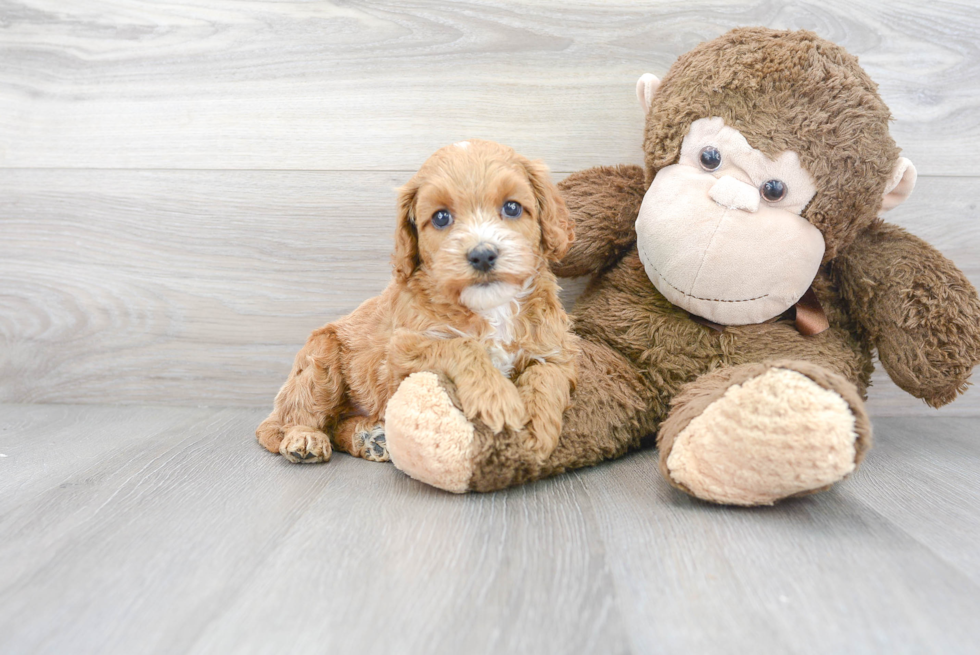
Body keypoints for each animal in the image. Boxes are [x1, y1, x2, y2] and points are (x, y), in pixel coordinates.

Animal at [256, 139, 580, 466]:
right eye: (441, 217)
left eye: (512, 207)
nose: (482, 255)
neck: (492, 308)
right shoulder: (402, 352)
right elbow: (463, 345)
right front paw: (496, 397)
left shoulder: (556, 350)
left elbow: (546, 376)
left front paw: (535, 431)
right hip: (320, 359)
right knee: (286, 422)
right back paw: (304, 437)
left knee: (336, 425)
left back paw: (371, 438)